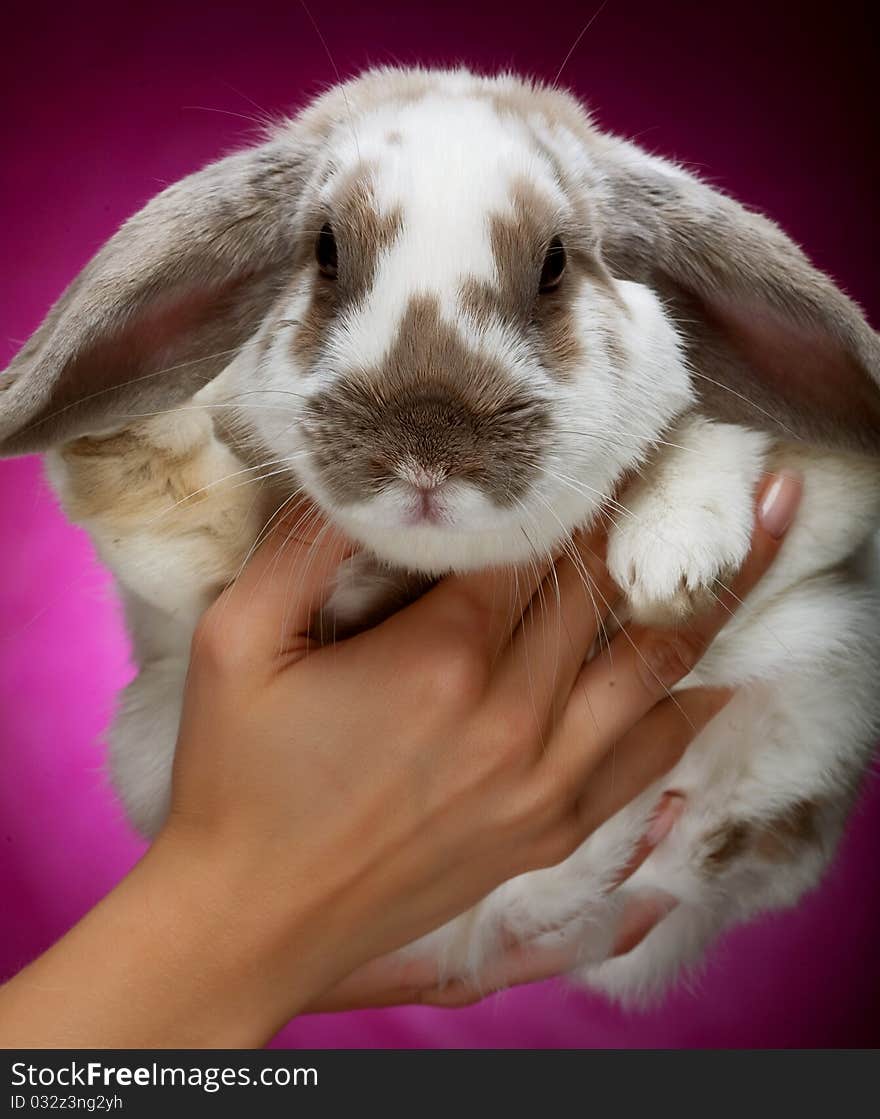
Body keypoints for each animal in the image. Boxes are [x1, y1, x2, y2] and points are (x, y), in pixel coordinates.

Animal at [1, 65, 877, 1002]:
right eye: (325, 250)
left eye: (554, 263)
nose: (425, 441)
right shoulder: (183, 615)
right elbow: (197, 540)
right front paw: (125, 442)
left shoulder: (834, 499)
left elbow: (735, 436)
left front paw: (675, 558)